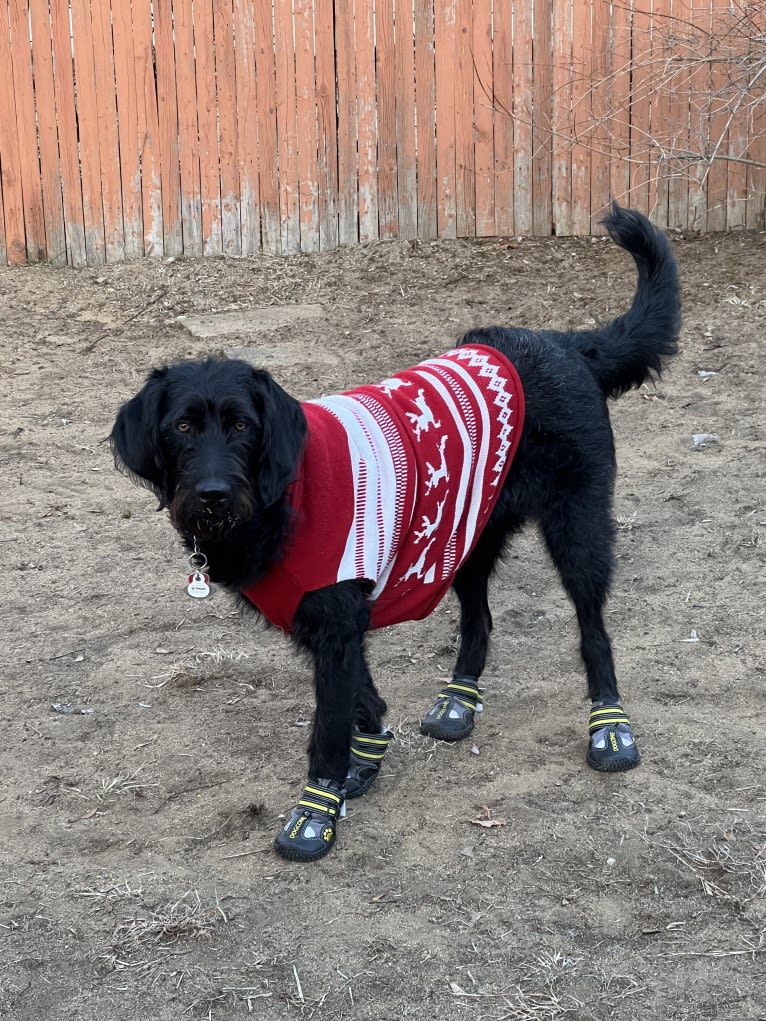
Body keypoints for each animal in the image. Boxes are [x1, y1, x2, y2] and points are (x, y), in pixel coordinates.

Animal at [109, 205, 682, 861]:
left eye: (242, 426)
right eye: (181, 427)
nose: (212, 495)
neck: (283, 499)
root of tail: (567, 344)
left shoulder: (335, 622)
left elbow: (327, 728)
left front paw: (315, 815)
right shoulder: (329, 624)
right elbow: (362, 697)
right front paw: (365, 761)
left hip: (578, 530)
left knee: (594, 630)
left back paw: (610, 728)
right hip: (465, 536)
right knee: (480, 621)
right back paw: (459, 701)